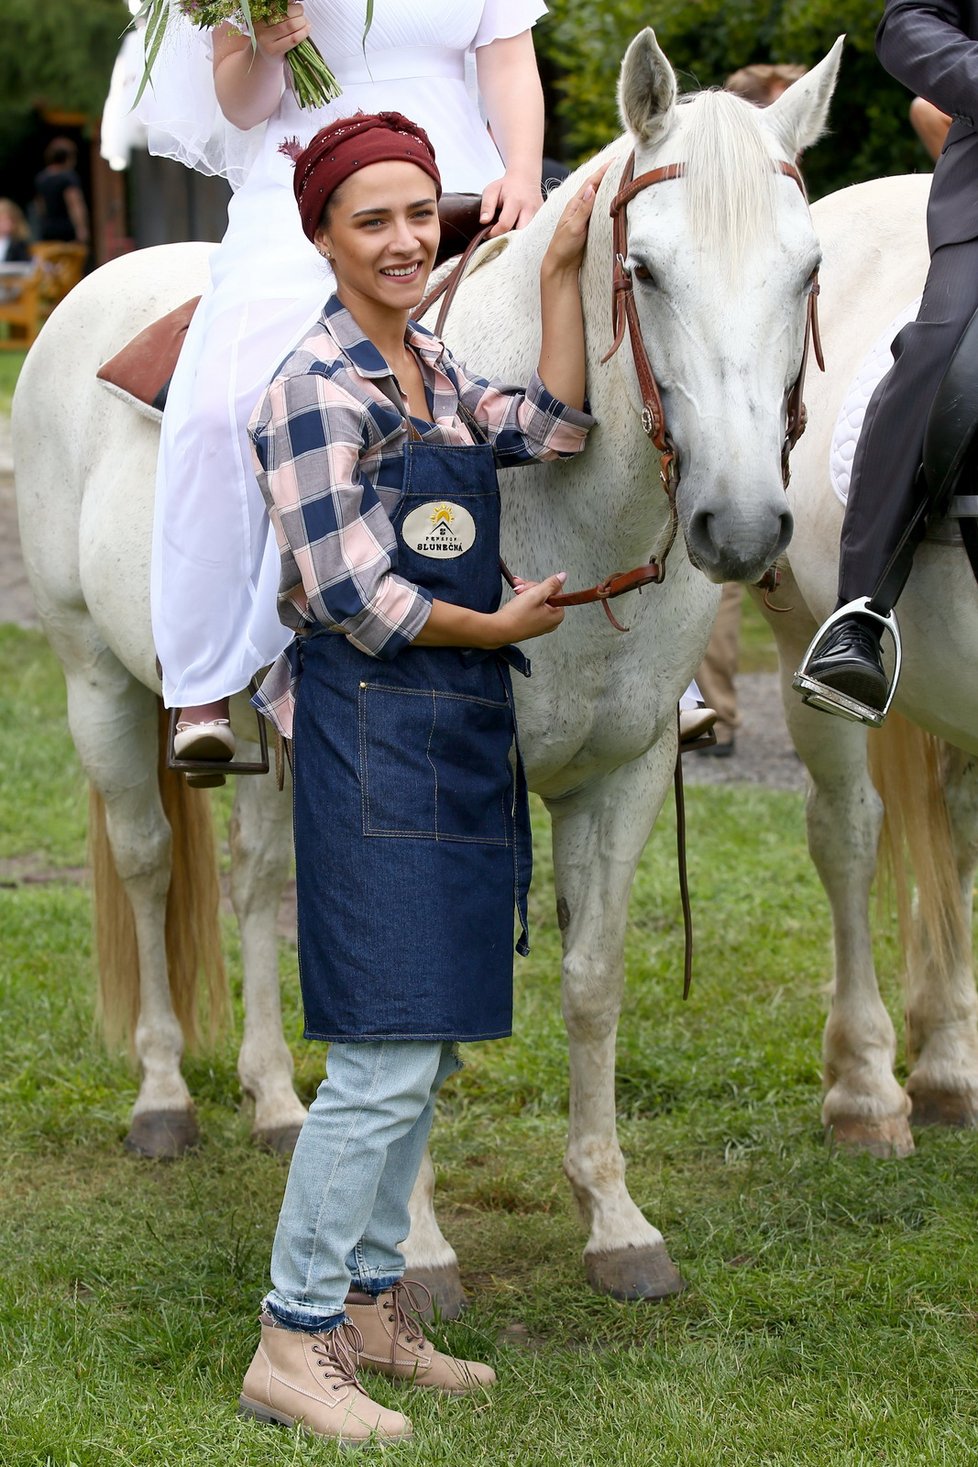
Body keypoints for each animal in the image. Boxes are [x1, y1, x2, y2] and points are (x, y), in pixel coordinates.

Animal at [13, 31, 844, 1296]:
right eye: (645, 269)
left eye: (807, 270)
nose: (741, 527)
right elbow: (417, 995)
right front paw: (417, 1248)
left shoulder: (624, 779)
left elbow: (591, 981)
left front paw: (615, 1220)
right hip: (95, 684)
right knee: (151, 866)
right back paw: (163, 1099)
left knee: (257, 881)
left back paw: (275, 1103)